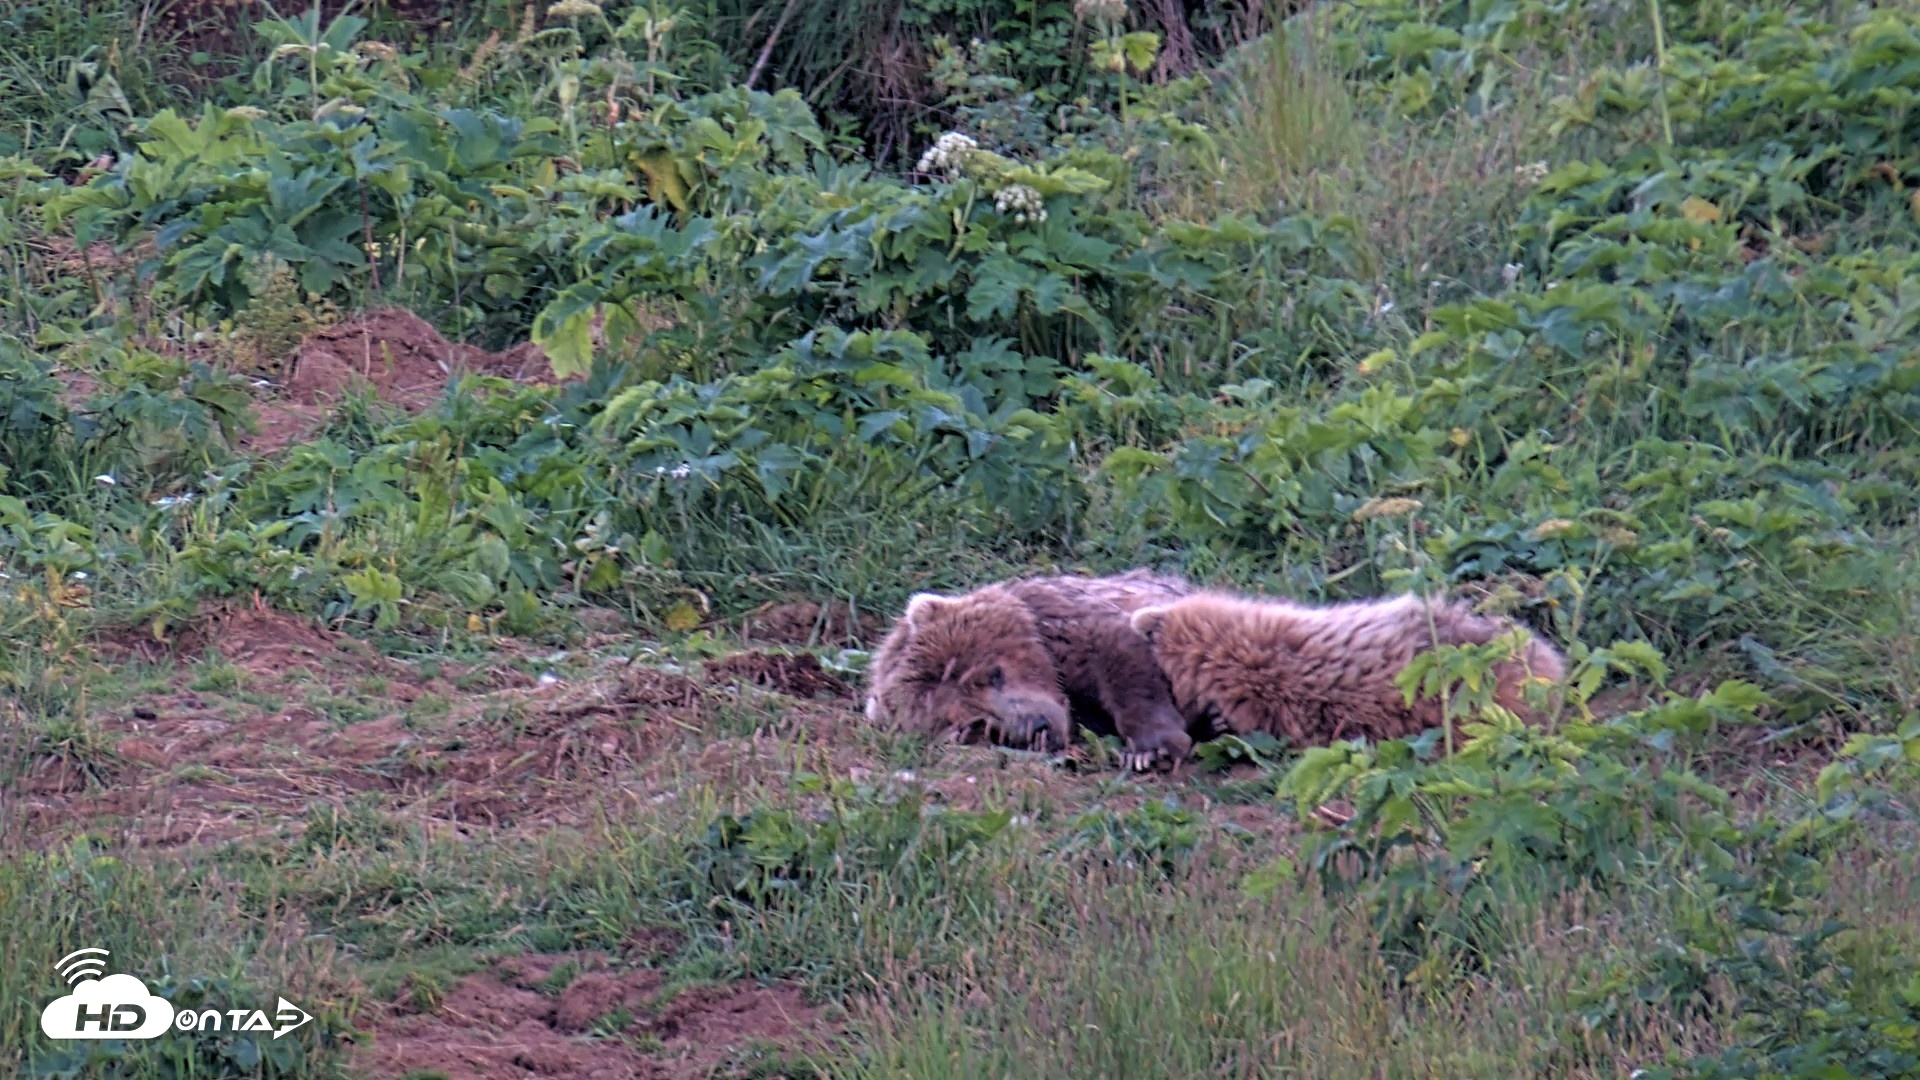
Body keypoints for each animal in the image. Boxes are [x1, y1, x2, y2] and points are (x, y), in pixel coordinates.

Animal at [863, 569, 1201, 770]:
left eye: (995, 674)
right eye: (973, 724)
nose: (1038, 728)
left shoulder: (1066, 619)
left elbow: (1124, 656)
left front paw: (1152, 749)